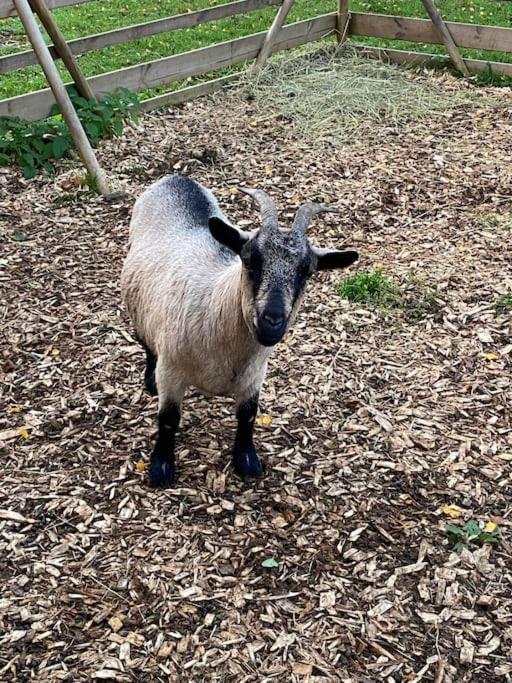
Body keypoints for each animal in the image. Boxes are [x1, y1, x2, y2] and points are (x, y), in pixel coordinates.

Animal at [121, 175, 358, 486]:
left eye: (306, 271)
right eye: (250, 259)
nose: (272, 321)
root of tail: (175, 178)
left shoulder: (254, 377)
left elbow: (248, 416)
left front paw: (246, 461)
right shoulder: (171, 371)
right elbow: (169, 419)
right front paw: (161, 467)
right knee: (147, 345)